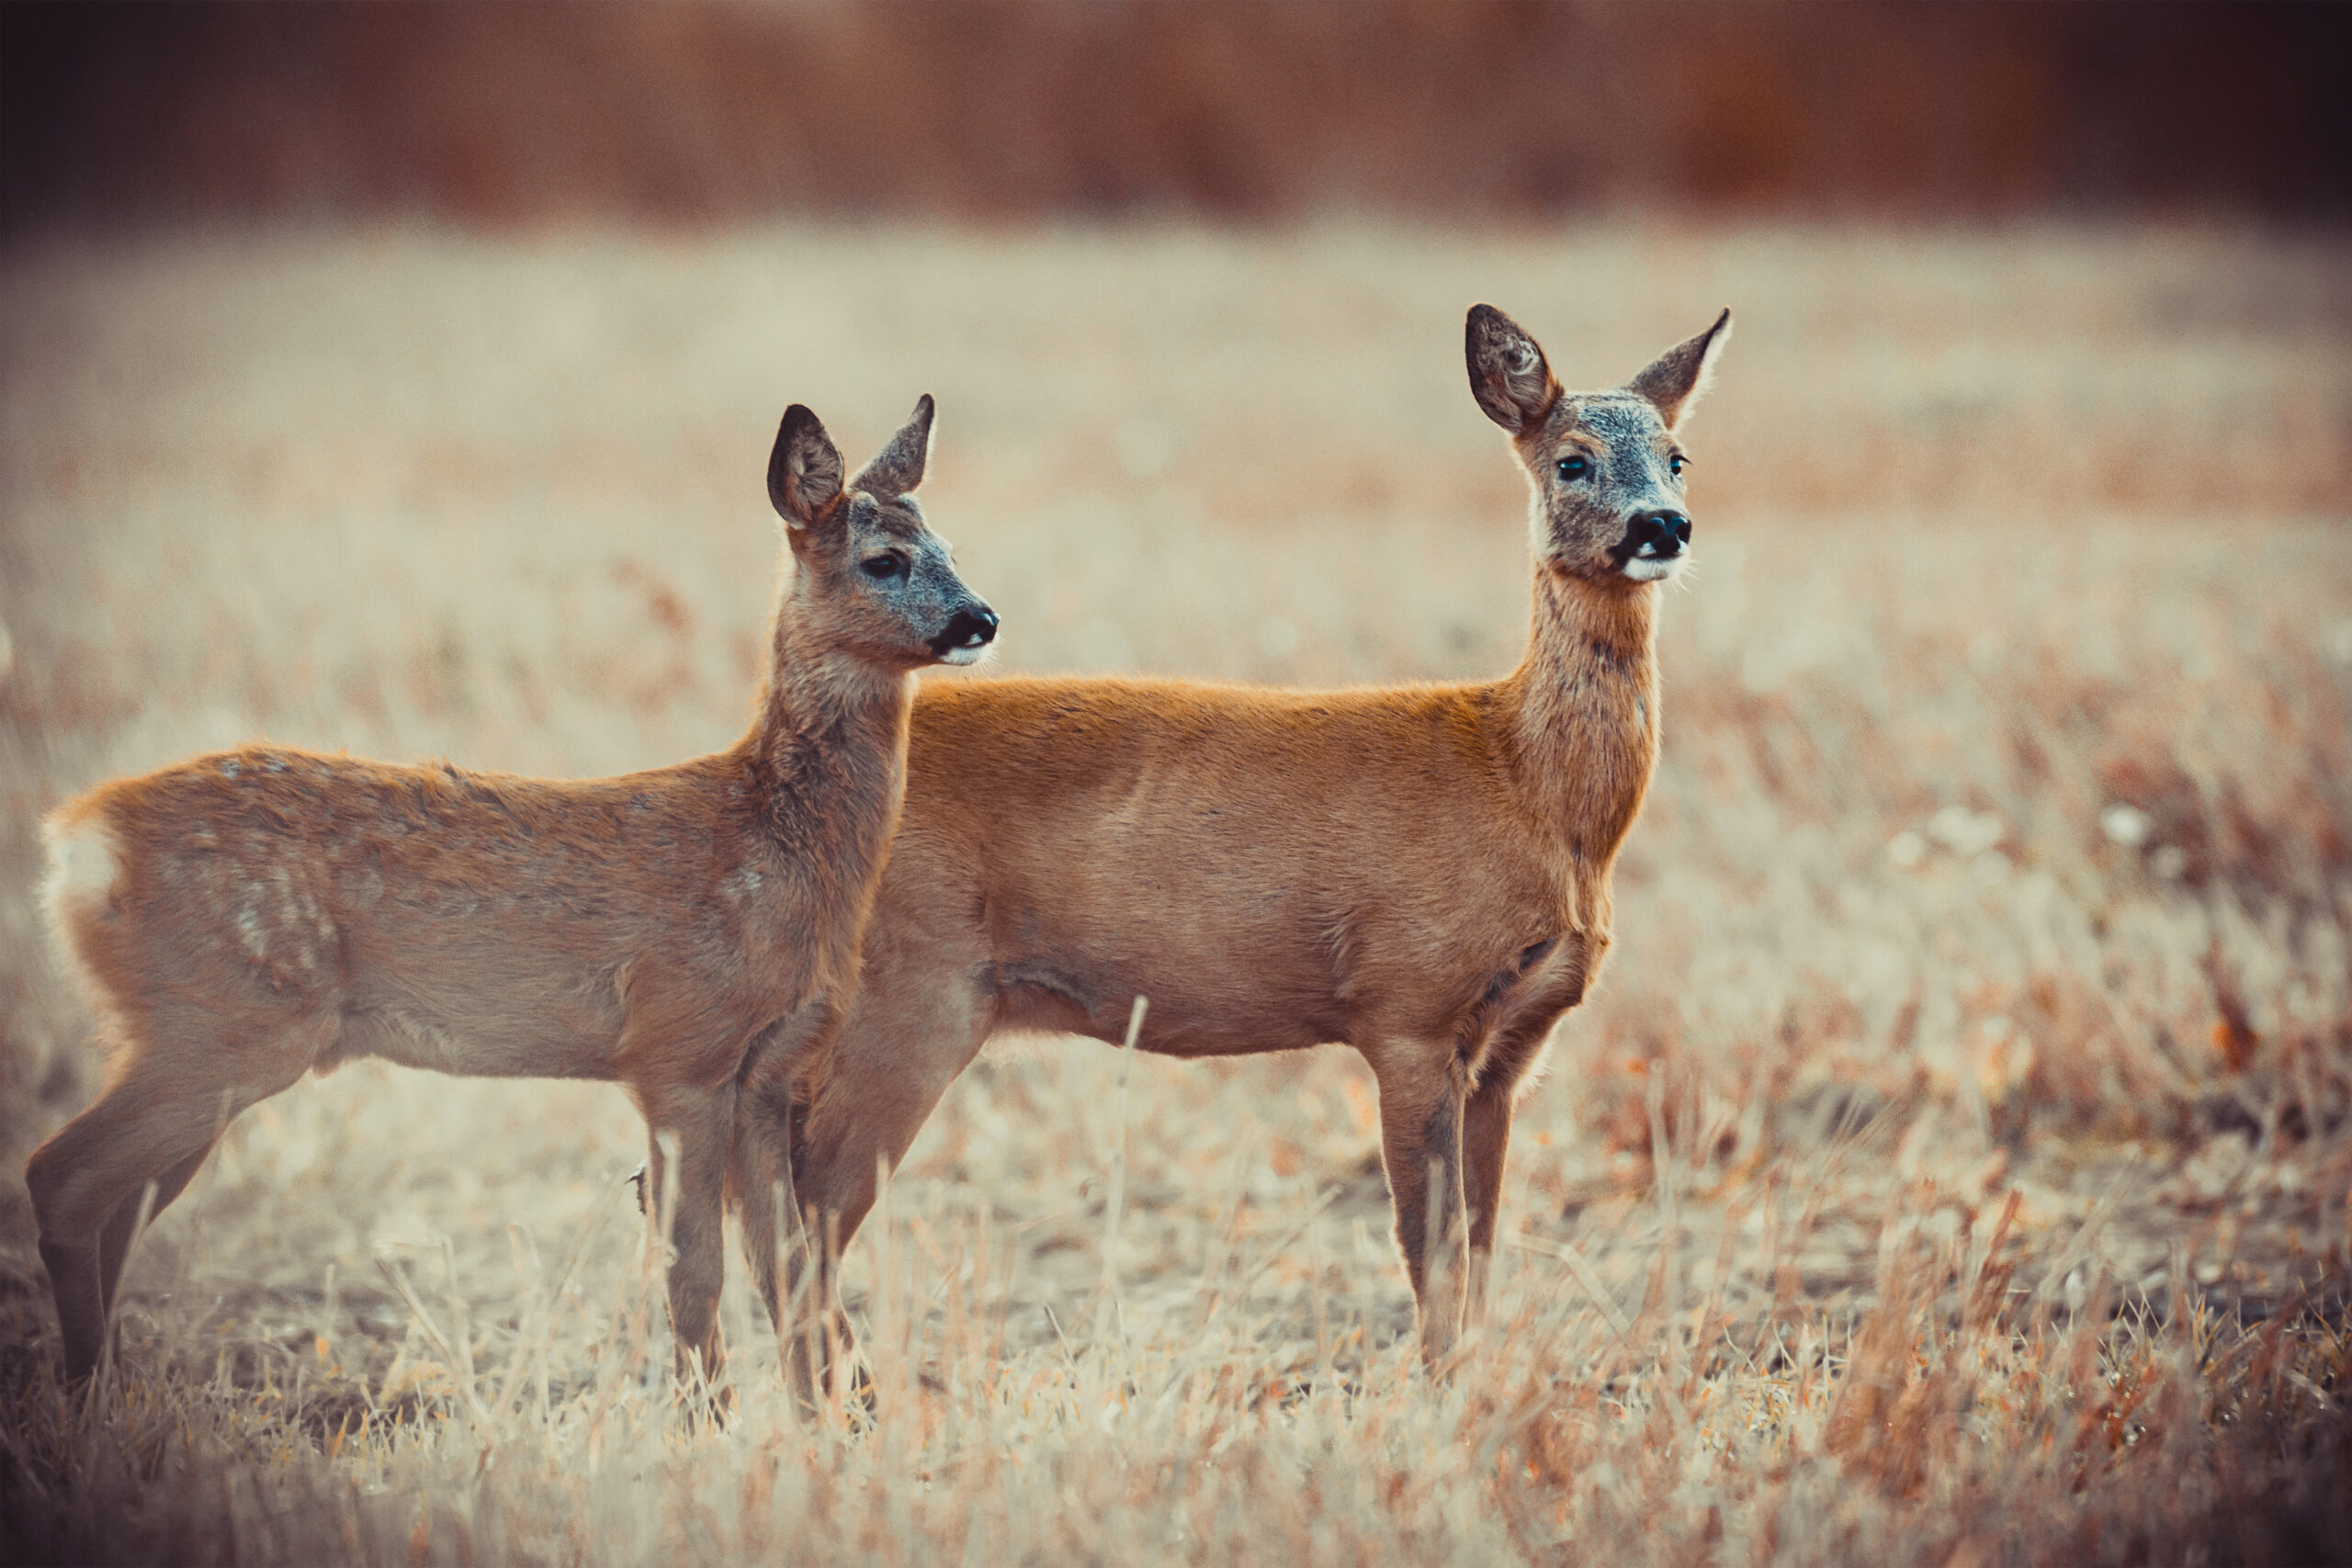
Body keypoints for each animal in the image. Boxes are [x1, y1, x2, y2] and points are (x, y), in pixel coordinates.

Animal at [29, 400, 1001, 1392]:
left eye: (949, 547)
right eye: (882, 560)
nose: (981, 619)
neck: (771, 843)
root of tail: (79, 844)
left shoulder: (768, 1067)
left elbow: (789, 1271)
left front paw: (817, 1421)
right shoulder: (676, 1050)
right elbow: (696, 1273)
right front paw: (710, 1417)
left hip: (200, 1036)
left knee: (113, 1202)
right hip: (225, 1022)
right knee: (59, 1178)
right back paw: (90, 1393)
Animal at [771, 310, 1731, 1382]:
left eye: (1678, 456)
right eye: (1572, 459)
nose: (1660, 525)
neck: (1524, 781)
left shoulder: (1514, 1042)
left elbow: (1478, 1249)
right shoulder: (1406, 1005)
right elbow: (1429, 1251)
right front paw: (1438, 1397)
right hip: (907, 996)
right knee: (800, 1222)